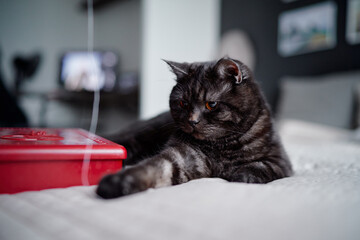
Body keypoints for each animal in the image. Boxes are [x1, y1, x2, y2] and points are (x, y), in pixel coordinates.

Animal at [96, 57, 292, 198]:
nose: (192, 121)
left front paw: (239, 176)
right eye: (183, 103)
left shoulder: (280, 161)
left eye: (211, 104)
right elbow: (154, 167)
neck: (221, 145)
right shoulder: (183, 157)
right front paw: (116, 183)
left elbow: (259, 166)